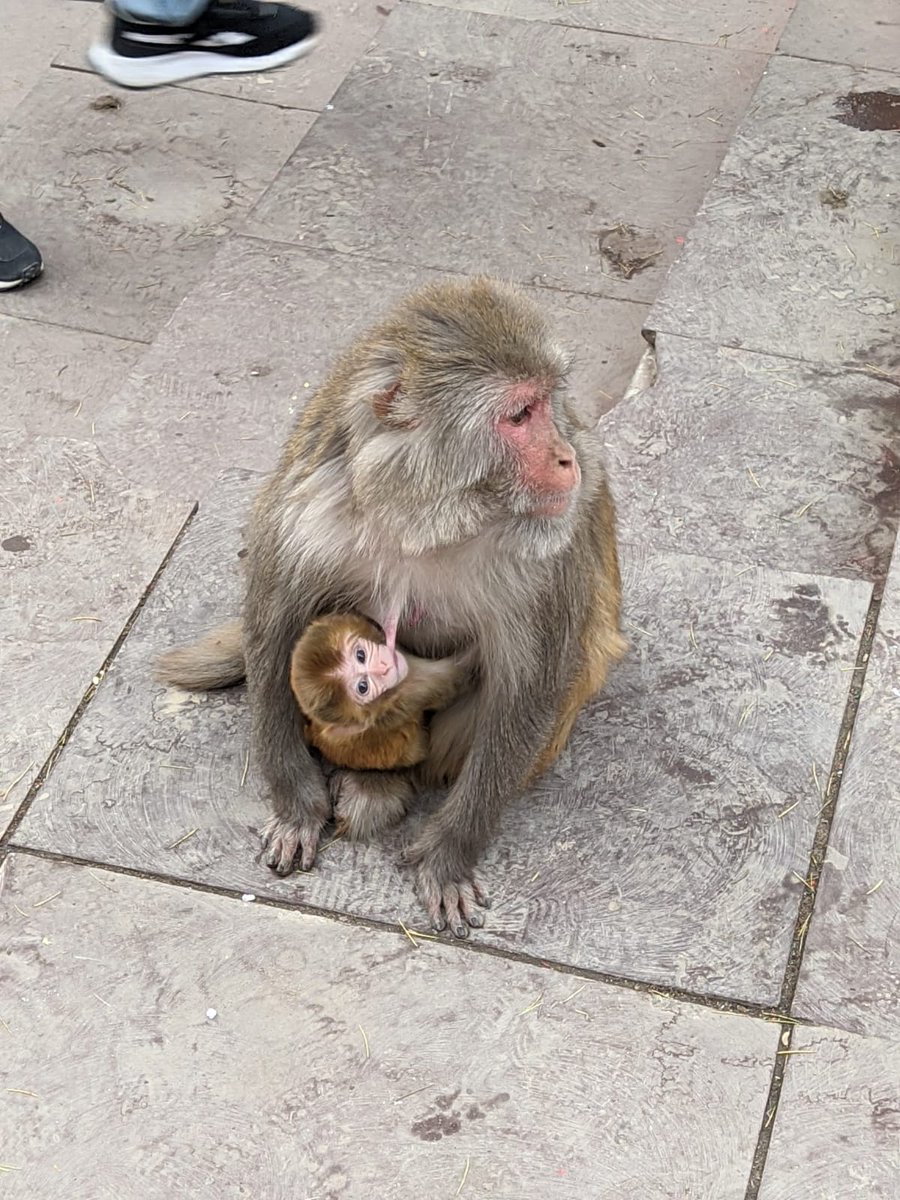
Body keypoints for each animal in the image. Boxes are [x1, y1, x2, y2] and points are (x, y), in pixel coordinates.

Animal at [155, 275, 626, 939]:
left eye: (547, 403)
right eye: (519, 415)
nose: (568, 457)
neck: (423, 514)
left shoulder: (545, 555)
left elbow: (530, 684)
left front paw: (448, 855)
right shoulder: (312, 504)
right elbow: (275, 623)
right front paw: (297, 805)